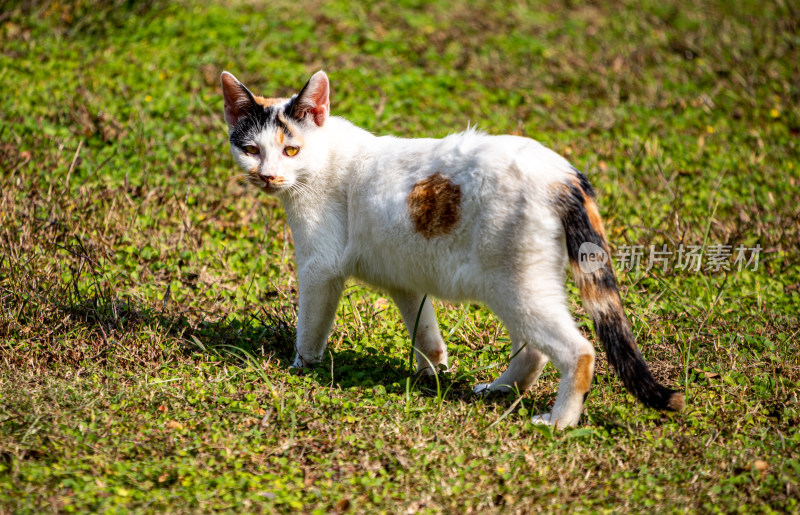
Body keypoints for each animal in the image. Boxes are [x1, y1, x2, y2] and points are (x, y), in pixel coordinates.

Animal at [219, 70, 680, 430]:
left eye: (290, 149)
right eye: (251, 150)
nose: (267, 176)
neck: (323, 158)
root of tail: (561, 174)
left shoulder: (320, 268)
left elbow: (309, 328)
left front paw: (300, 367)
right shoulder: (404, 277)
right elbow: (424, 330)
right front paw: (434, 371)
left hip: (514, 286)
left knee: (578, 351)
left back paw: (559, 422)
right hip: (519, 286)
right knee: (533, 349)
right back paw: (499, 390)